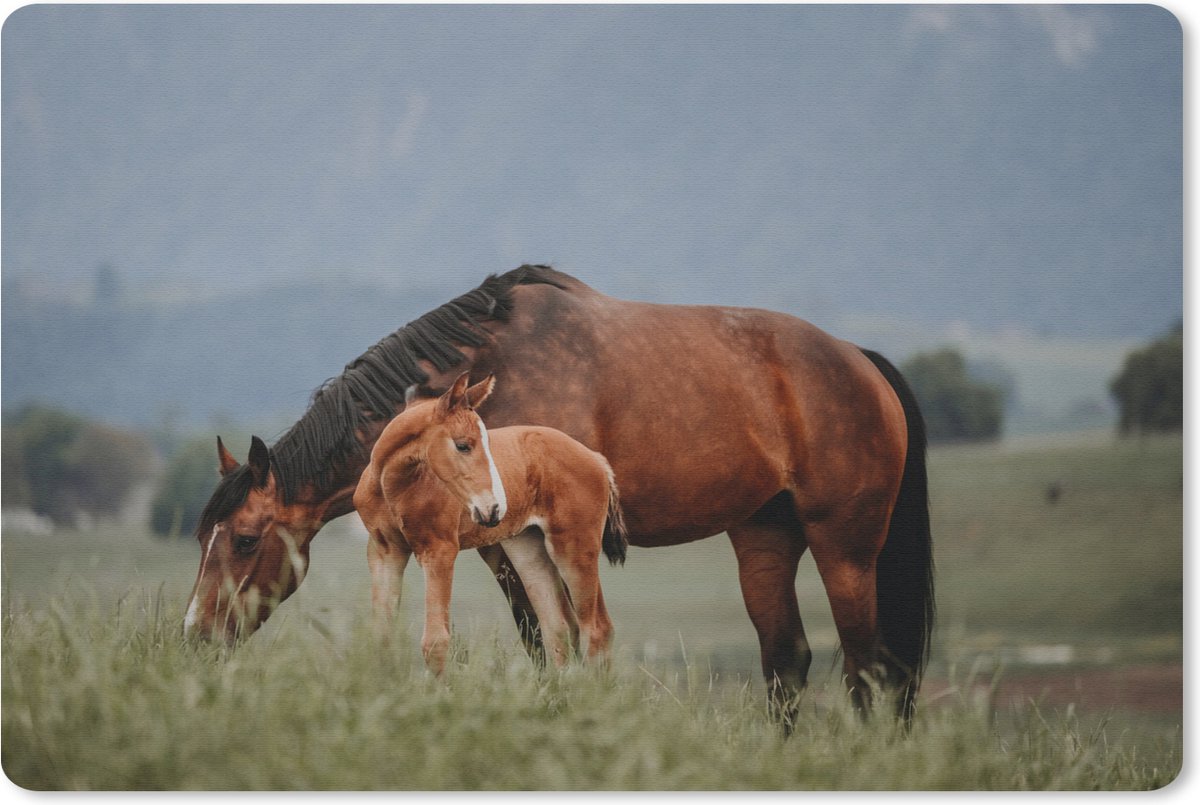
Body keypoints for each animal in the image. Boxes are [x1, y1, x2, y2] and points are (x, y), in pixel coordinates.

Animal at [353, 371, 627, 674]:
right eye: (463, 445)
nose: (494, 509)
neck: (393, 487)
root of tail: (596, 459)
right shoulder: (385, 551)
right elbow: (381, 635)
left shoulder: (439, 551)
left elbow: (435, 642)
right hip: (528, 548)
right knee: (559, 627)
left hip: (574, 548)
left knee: (597, 628)